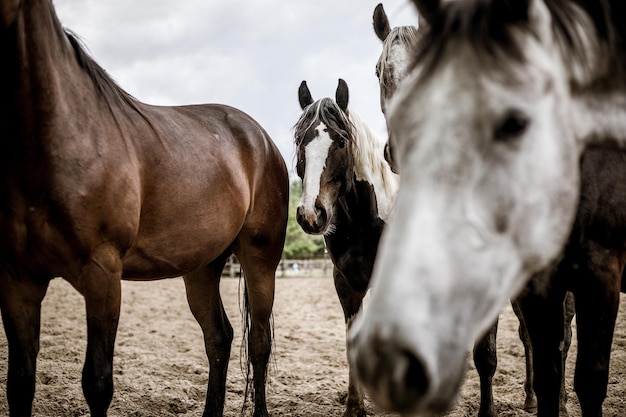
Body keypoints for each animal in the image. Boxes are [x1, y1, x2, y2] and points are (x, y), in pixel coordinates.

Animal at [0, 1, 288, 414]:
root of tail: (262, 139)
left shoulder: (102, 274)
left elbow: (97, 382)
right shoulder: (18, 280)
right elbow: (20, 384)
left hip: (260, 259)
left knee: (259, 343)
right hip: (201, 268)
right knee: (219, 338)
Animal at [292, 79, 394, 416]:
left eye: (340, 142)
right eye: (299, 141)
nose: (312, 214)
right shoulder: (346, 283)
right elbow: (353, 339)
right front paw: (354, 405)